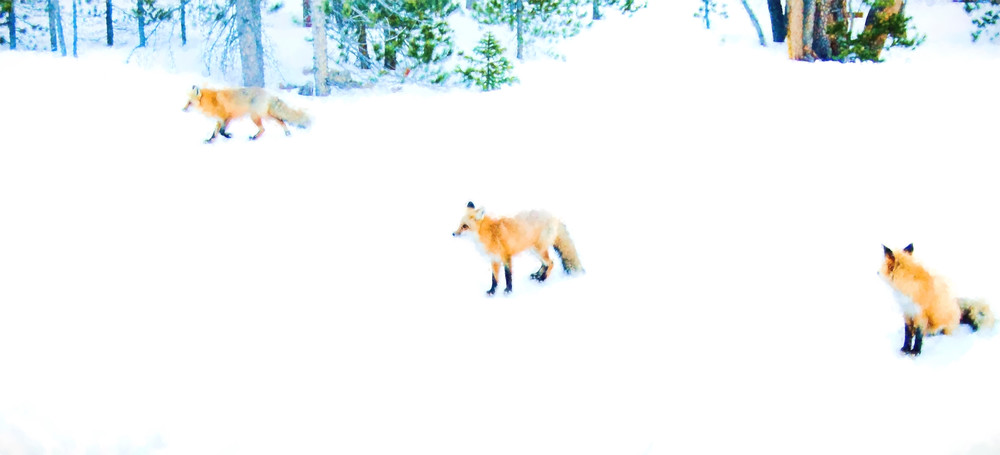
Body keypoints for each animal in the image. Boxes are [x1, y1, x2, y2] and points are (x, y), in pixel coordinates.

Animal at [453, 201, 583, 296]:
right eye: (459, 225)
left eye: (465, 226)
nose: (453, 234)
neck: (490, 233)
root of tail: (554, 217)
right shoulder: (494, 259)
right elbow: (494, 279)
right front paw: (492, 291)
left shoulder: (506, 257)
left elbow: (508, 276)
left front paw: (508, 291)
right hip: (533, 250)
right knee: (545, 264)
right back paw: (537, 275)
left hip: (539, 250)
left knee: (551, 263)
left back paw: (542, 279)